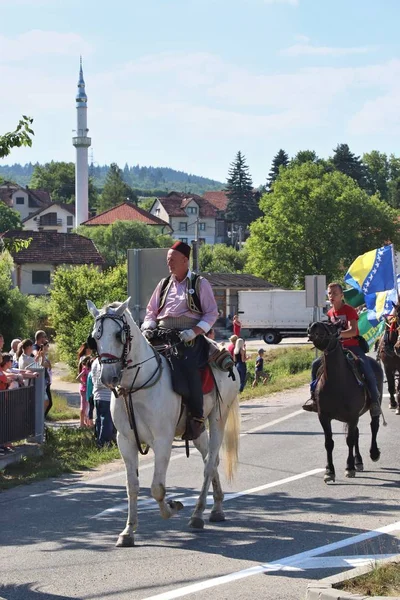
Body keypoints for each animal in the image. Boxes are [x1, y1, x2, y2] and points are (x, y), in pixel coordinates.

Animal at [86, 298, 241, 548]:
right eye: (95, 337)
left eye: (119, 334)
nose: (108, 377)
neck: (136, 387)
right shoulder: (125, 442)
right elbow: (132, 486)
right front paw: (128, 531)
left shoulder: (162, 441)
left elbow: (157, 488)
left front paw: (172, 507)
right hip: (197, 429)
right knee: (211, 459)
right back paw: (216, 507)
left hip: (218, 418)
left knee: (209, 465)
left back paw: (198, 514)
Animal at [308, 322, 382, 486]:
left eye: (330, 325)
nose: (312, 325)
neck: (337, 381)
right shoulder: (324, 416)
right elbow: (329, 443)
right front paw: (329, 471)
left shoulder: (352, 416)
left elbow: (349, 440)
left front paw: (349, 468)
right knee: (357, 434)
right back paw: (358, 461)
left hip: (372, 406)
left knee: (373, 426)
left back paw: (373, 453)